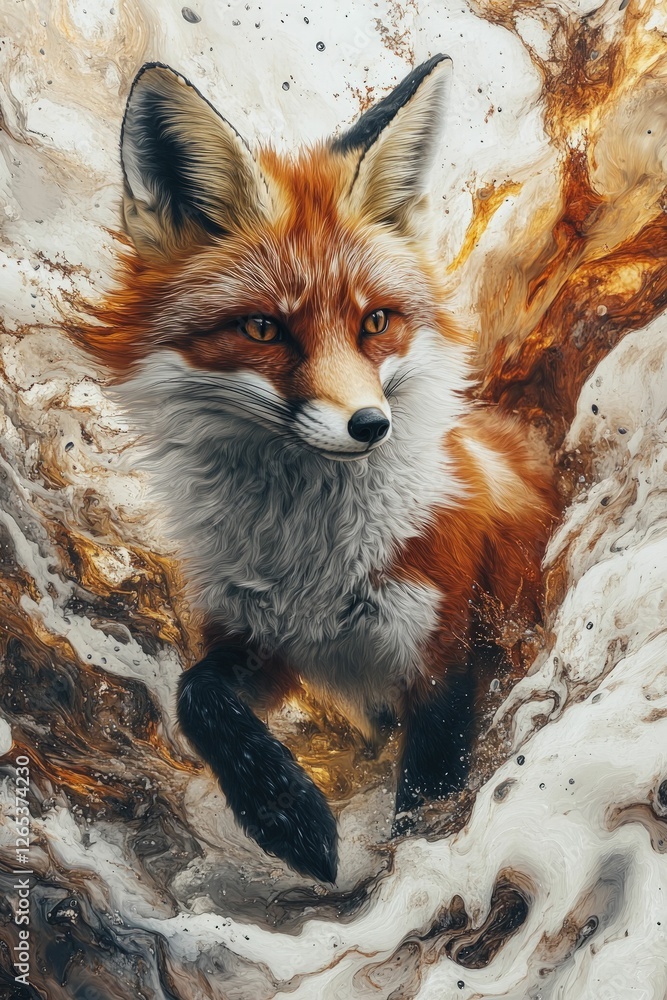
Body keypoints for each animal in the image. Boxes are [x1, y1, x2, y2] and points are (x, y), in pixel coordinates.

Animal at [81, 55, 559, 883]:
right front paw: (285, 815)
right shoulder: (269, 644)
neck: (314, 563)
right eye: (263, 328)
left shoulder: (441, 650)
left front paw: (408, 868)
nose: (369, 425)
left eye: (375, 322)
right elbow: (197, 695)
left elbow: (427, 788)